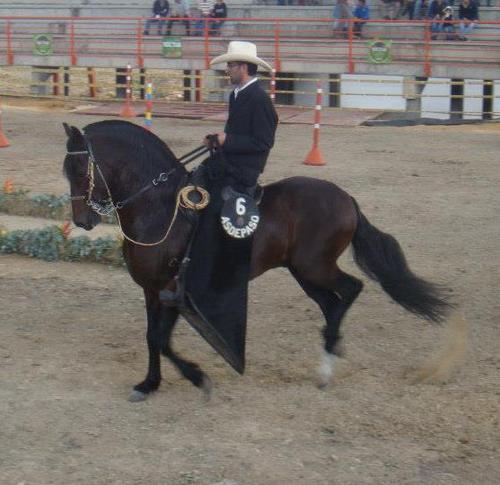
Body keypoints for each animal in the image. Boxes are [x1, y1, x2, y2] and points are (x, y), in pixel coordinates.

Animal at [62, 119, 450, 398]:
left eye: (80, 170)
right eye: (66, 170)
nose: (83, 220)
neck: (159, 207)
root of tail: (346, 199)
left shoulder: (172, 290)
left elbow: (160, 338)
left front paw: (197, 378)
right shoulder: (152, 290)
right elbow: (151, 336)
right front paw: (150, 383)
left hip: (315, 267)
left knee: (351, 289)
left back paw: (327, 364)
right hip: (304, 272)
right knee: (332, 303)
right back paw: (330, 352)